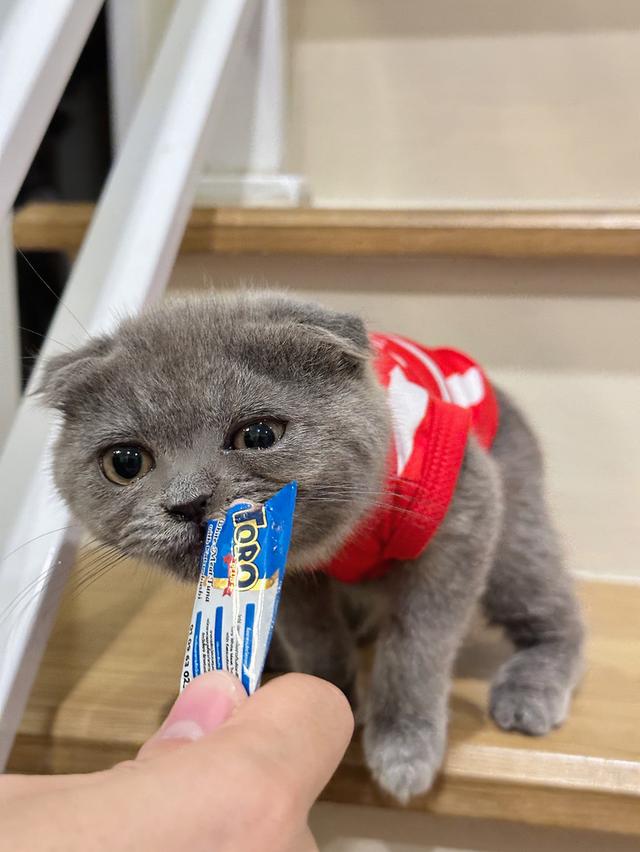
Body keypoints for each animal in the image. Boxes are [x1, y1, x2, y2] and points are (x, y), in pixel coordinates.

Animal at [37, 290, 584, 804]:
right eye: (125, 462)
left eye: (259, 434)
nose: (189, 502)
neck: (340, 539)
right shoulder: (288, 571)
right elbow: (315, 633)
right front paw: (331, 692)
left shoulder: (463, 516)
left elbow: (417, 646)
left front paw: (404, 747)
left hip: (514, 537)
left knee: (554, 611)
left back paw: (529, 690)